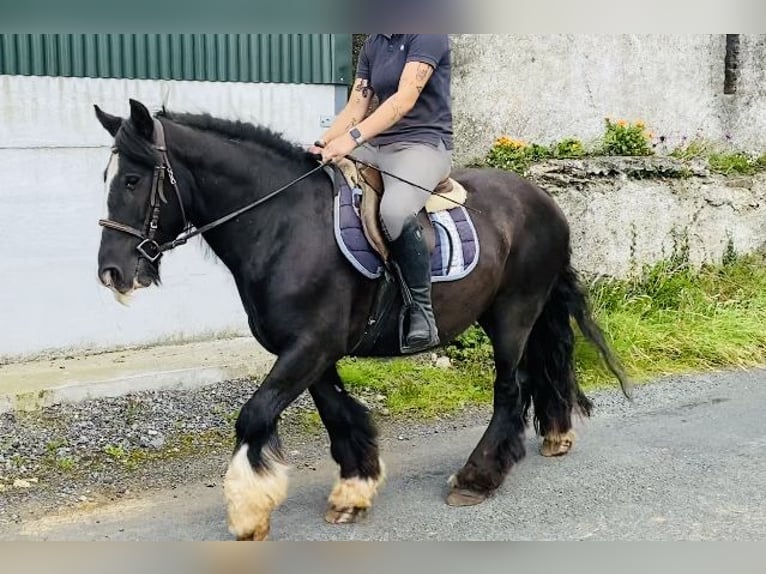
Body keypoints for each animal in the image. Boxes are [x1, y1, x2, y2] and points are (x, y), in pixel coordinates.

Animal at [94, 100, 632, 544]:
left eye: (132, 180)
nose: (112, 272)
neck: (284, 226)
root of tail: (544, 200)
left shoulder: (310, 346)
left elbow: (255, 413)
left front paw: (248, 513)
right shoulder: (311, 351)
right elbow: (337, 412)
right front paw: (355, 489)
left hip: (513, 312)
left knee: (510, 388)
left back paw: (477, 477)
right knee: (540, 369)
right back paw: (554, 435)